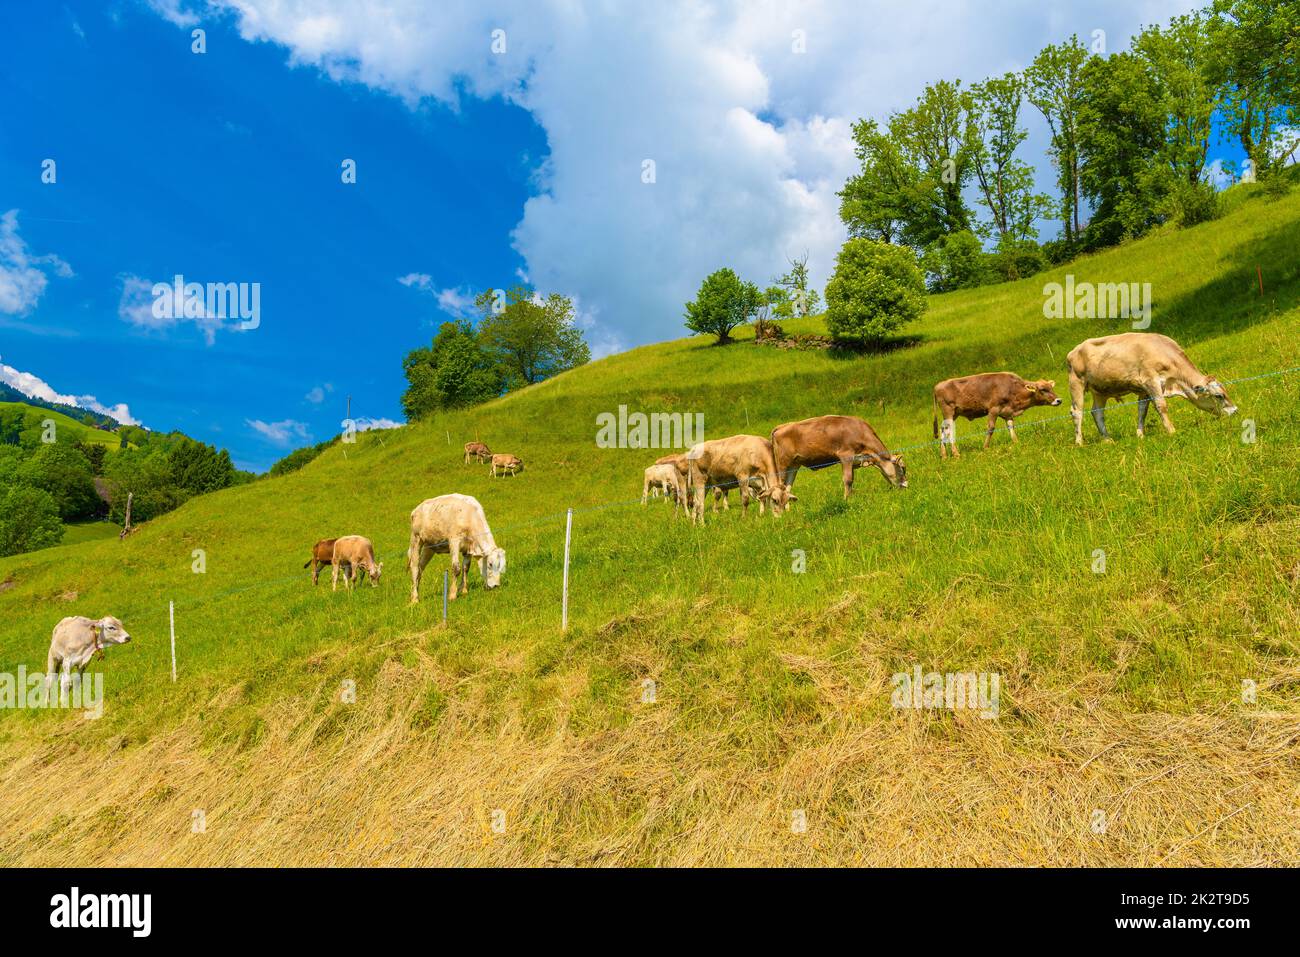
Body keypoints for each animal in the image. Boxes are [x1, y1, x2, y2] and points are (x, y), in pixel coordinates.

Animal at [764, 413, 909, 496]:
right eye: (902, 468)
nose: (906, 486)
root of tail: (781, 426)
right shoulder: (846, 456)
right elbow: (848, 479)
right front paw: (847, 500)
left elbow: (851, 479)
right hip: (783, 464)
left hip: (794, 465)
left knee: (787, 488)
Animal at [935, 371, 1066, 457]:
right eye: (1043, 389)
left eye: (1051, 388)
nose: (1059, 400)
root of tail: (938, 385)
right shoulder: (993, 409)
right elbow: (991, 428)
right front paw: (985, 447)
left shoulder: (1007, 412)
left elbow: (1011, 427)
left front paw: (1016, 442)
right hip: (948, 411)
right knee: (949, 431)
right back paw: (956, 453)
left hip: (953, 414)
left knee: (943, 430)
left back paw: (944, 455)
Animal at [1066, 332, 1237, 444]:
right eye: (1219, 396)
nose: (1235, 411)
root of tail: (1074, 350)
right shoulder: (1151, 381)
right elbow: (1162, 406)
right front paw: (1171, 431)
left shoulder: (1144, 390)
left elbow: (1142, 411)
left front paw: (1140, 435)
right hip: (1076, 383)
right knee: (1077, 412)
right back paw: (1079, 442)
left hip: (1100, 390)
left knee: (1097, 412)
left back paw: (1108, 440)